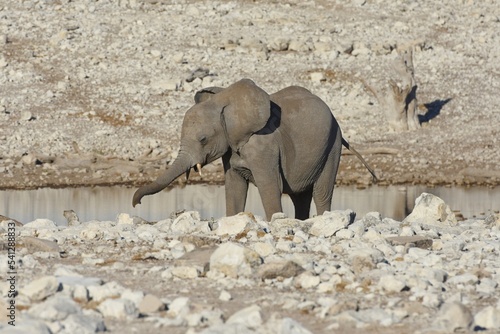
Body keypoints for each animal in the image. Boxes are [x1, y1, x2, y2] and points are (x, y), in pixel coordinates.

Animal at [132, 77, 376, 220]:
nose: (136, 203)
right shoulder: (231, 149)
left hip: (332, 145)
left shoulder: (263, 146)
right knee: (300, 197)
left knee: (321, 192)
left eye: (203, 139)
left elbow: (270, 187)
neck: (226, 102)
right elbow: (234, 187)